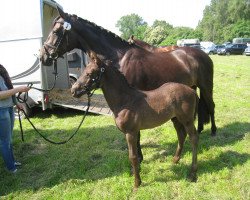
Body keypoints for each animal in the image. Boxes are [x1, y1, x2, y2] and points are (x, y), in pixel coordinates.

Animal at [40, 7, 216, 163]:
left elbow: (136, 133)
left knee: (210, 105)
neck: (119, 58)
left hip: (206, 86)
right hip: (192, 87)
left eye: (56, 31)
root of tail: (203, 54)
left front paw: (139, 158)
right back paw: (201, 128)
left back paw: (213, 131)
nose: (43, 56)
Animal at [71, 53, 199, 191]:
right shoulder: (133, 132)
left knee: (193, 138)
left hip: (187, 120)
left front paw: (137, 183)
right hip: (176, 119)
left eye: (89, 73)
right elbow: (136, 155)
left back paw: (192, 173)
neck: (125, 101)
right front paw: (135, 174)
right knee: (181, 135)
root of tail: (192, 90)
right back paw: (175, 160)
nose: (73, 91)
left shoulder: (130, 133)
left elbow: (132, 157)